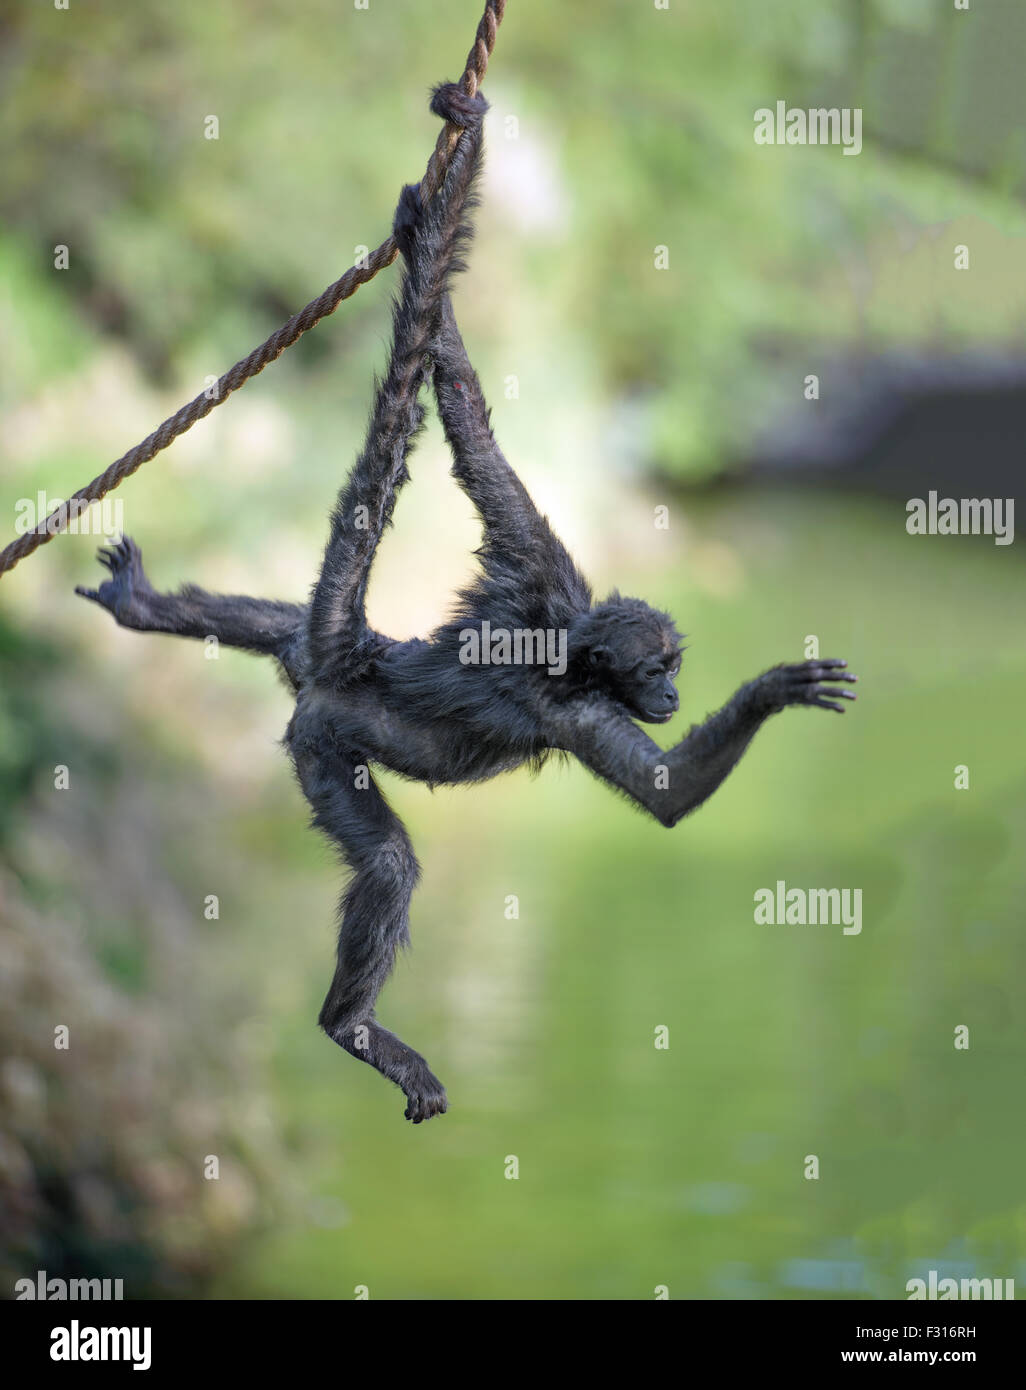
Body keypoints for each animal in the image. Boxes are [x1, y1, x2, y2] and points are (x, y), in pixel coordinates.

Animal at [75, 78, 856, 1117]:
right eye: (655, 672)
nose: (674, 694)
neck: (563, 643)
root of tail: (347, 662)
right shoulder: (570, 706)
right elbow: (668, 794)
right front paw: (777, 689)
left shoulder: (546, 568)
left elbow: (468, 424)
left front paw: (422, 237)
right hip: (323, 744)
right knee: (388, 861)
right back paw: (352, 1026)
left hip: (324, 665)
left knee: (286, 627)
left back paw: (146, 606)